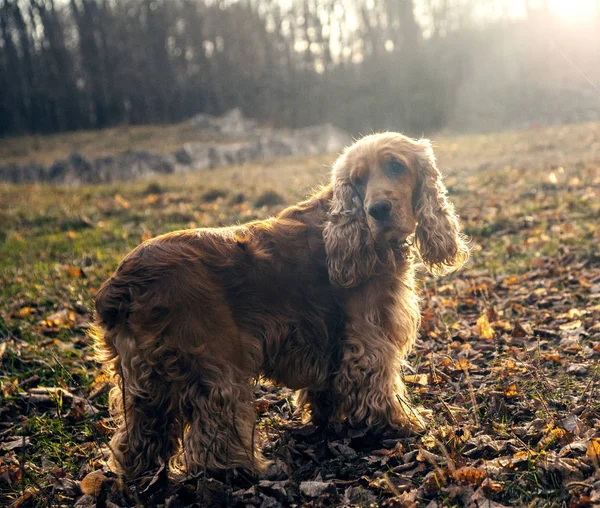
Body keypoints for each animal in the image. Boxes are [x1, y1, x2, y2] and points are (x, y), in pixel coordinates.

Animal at [94, 130, 468, 476]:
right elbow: (378, 383)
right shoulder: (367, 336)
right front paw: (401, 423)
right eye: (358, 180)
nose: (377, 210)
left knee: (136, 436)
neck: (351, 233)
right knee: (213, 433)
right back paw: (244, 470)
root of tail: (122, 284)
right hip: (216, 364)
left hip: (143, 379)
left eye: (396, 166)